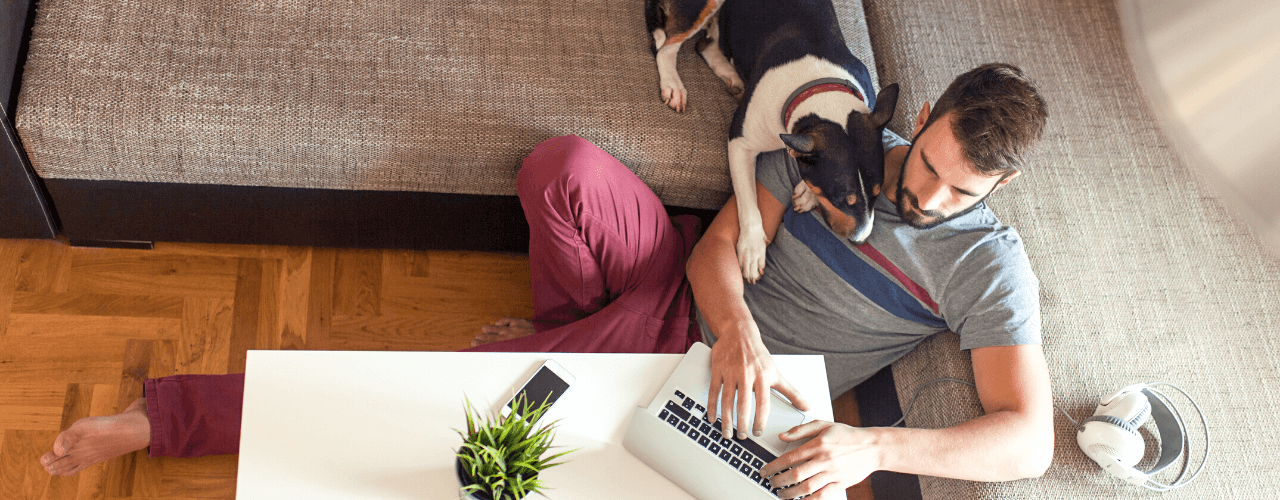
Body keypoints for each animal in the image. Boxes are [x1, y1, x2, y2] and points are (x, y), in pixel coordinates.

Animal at [645, 0, 896, 281]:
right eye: (843, 199)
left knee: (705, 46)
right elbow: (748, 201)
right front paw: (752, 249)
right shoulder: (740, 143)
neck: (820, 92)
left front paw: (808, 193)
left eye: (877, 194)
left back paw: (731, 76)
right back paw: (674, 84)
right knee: (666, 47)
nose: (860, 240)